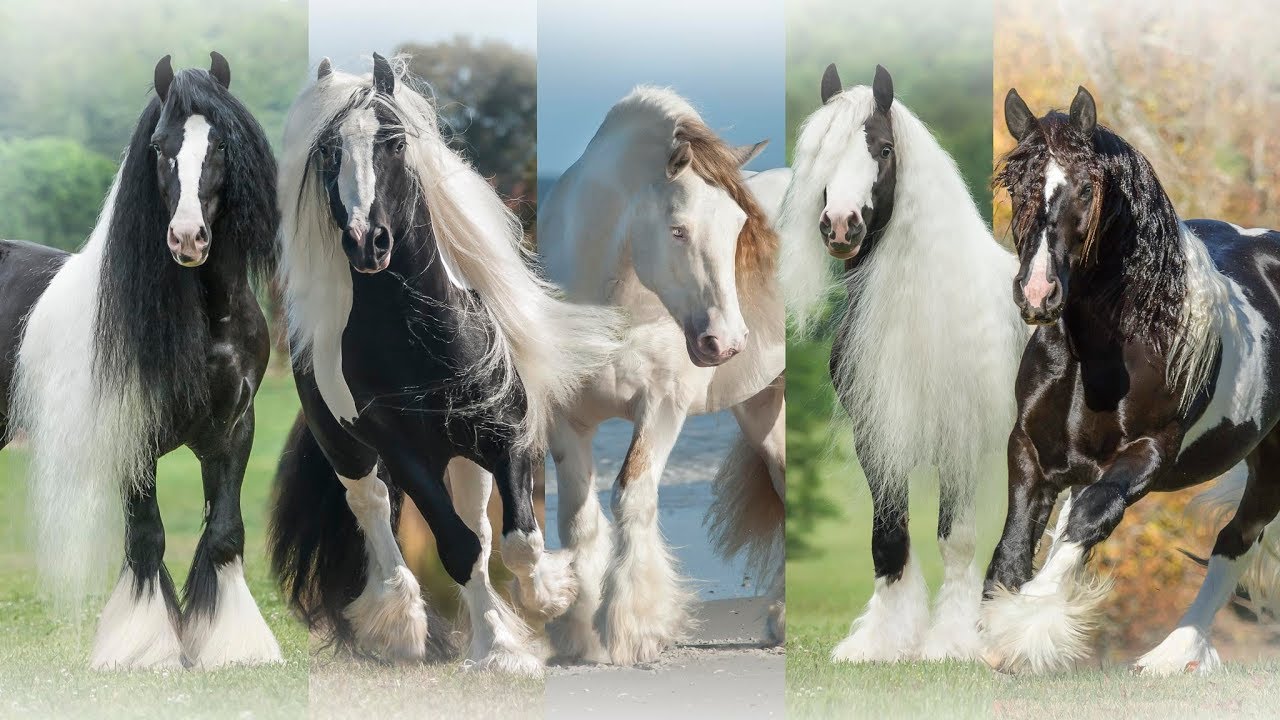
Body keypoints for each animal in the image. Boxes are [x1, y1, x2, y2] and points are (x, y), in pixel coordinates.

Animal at [0, 54, 280, 666]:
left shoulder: (234, 430)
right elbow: (147, 535)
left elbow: (224, 532)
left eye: (221, 144)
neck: (206, 324)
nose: (187, 238)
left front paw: (227, 645)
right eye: (159, 146)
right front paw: (143, 646)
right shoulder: (131, 434)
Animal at [270, 51, 619, 671]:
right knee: (373, 507)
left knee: (478, 520)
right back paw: (404, 628)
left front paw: (549, 598)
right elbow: (458, 549)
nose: (367, 243)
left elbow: (517, 541)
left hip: (463, 454)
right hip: (351, 450)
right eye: (329, 152)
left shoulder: (505, 436)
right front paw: (500, 646)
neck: (417, 337)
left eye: (393, 142)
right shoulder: (404, 454)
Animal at [535, 83, 783, 661]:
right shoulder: (566, 420)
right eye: (678, 230)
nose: (725, 342)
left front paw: (634, 628)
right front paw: (582, 633)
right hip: (763, 412)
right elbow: (577, 517)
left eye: (739, 227)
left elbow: (633, 495)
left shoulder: (662, 406)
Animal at [778, 64, 1029, 661]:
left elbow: (956, 539)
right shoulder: (876, 434)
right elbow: (888, 536)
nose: (840, 225)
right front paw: (882, 641)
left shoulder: (960, 436)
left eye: (883, 148)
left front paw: (951, 641)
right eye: (821, 151)